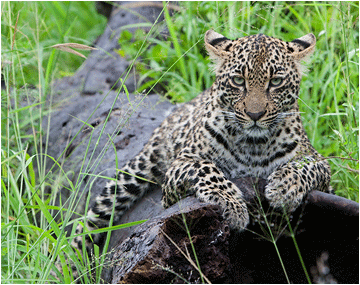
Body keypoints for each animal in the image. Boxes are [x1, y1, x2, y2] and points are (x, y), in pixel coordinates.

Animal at [69, 31, 330, 268]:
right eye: (238, 81)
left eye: (275, 82)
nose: (254, 114)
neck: (253, 146)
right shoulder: (177, 173)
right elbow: (206, 167)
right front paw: (232, 205)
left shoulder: (321, 165)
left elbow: (304, 166)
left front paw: (284, 188)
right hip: (131, 175)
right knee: (87, 226)